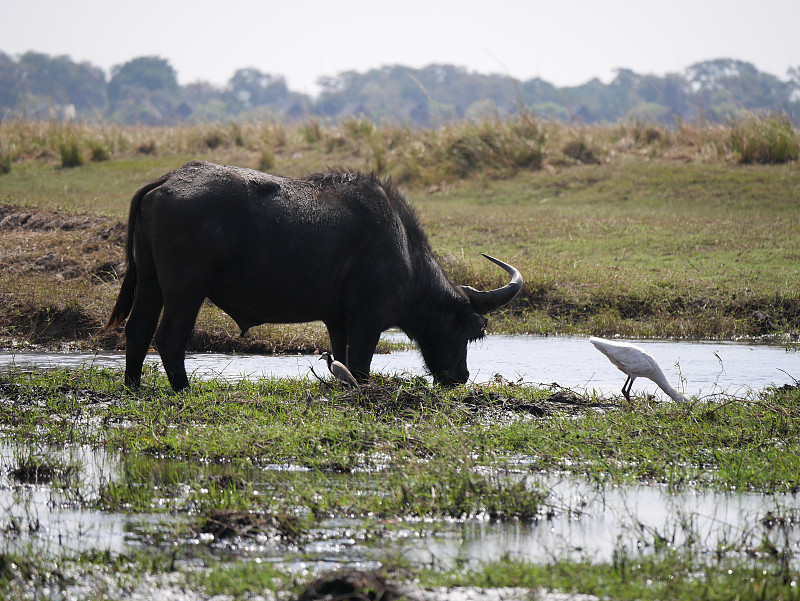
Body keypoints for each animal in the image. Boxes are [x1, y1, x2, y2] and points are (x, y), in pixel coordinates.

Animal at [103, 162, 520, 392]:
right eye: (467, 329)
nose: (460, 377)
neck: (402, 247)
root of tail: (167, 180)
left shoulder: (337, 321)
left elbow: (343, 361)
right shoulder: (366, 319)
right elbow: (361, 365)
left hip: (150, 283)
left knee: (137, 329)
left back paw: (133, 385)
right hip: (186, 290)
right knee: (169, 337)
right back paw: (183, 390)